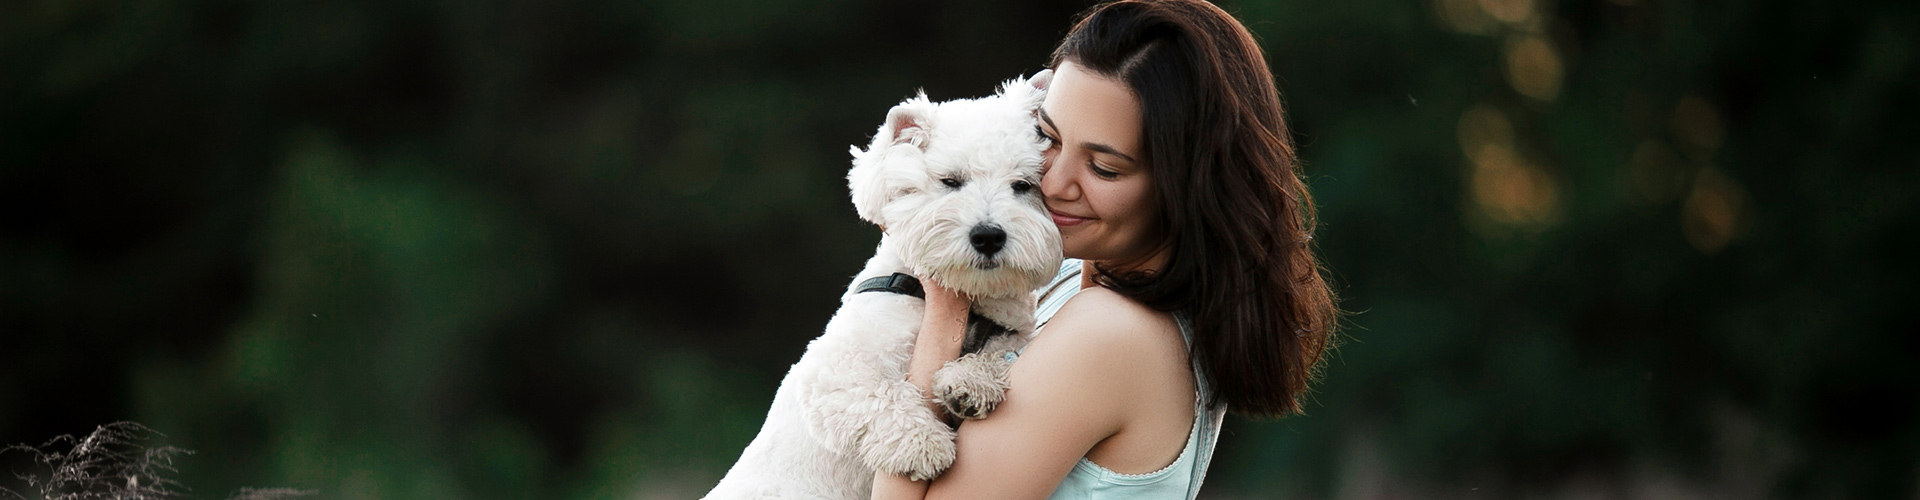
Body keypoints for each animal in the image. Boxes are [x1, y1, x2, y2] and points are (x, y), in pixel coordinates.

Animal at [706, 71, 1067, 500]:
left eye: (1024, 185)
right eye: (950, 181)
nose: (989, 236)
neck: (967, 300)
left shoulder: (1016, 334)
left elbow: (1002, 352)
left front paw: (968, 383)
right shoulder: (834, 368)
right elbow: (883, 394)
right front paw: (924, 445)